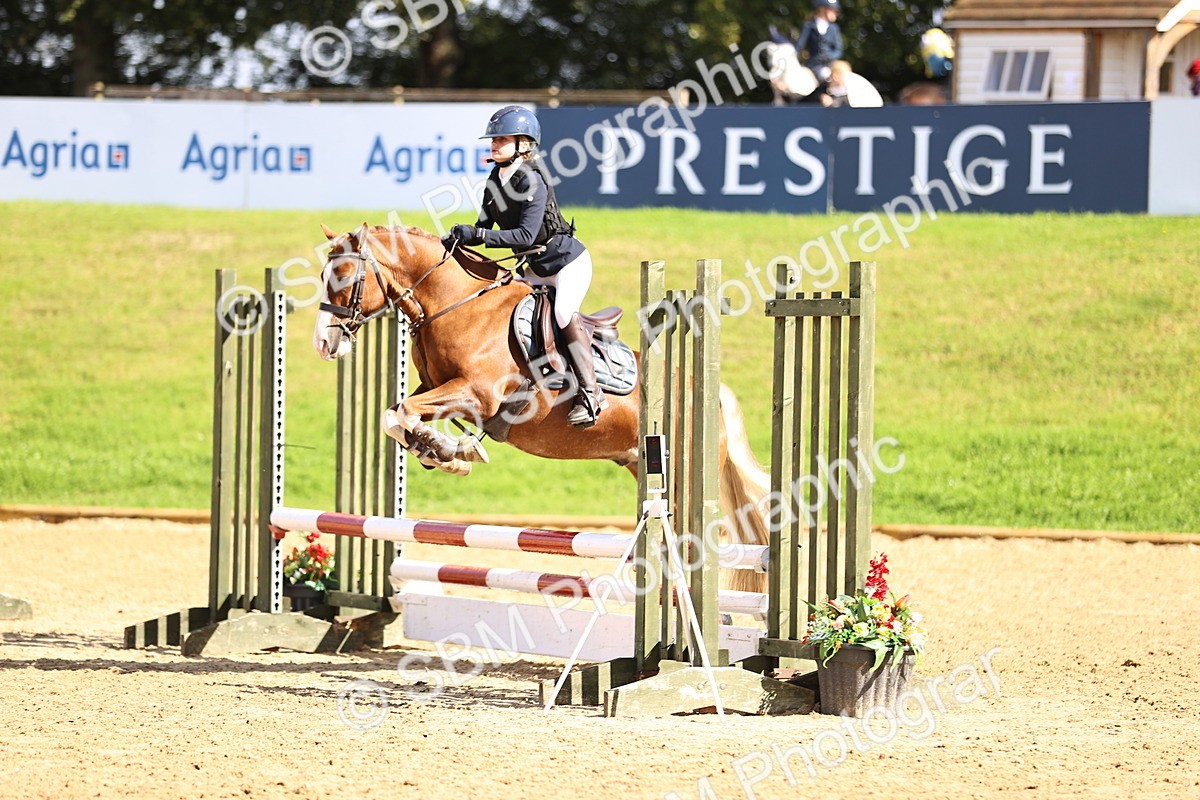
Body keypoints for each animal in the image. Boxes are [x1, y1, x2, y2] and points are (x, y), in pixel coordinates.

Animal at [312, 223, 772, 593]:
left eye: (344, 275)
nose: (324, 344)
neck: (459, 302)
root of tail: (709, 392)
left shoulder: (477, 393)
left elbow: (403, 412)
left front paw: (450, 453)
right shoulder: (440, 389)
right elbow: (396, 413)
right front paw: (444, 452)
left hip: (683, 474)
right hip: (640, 463)